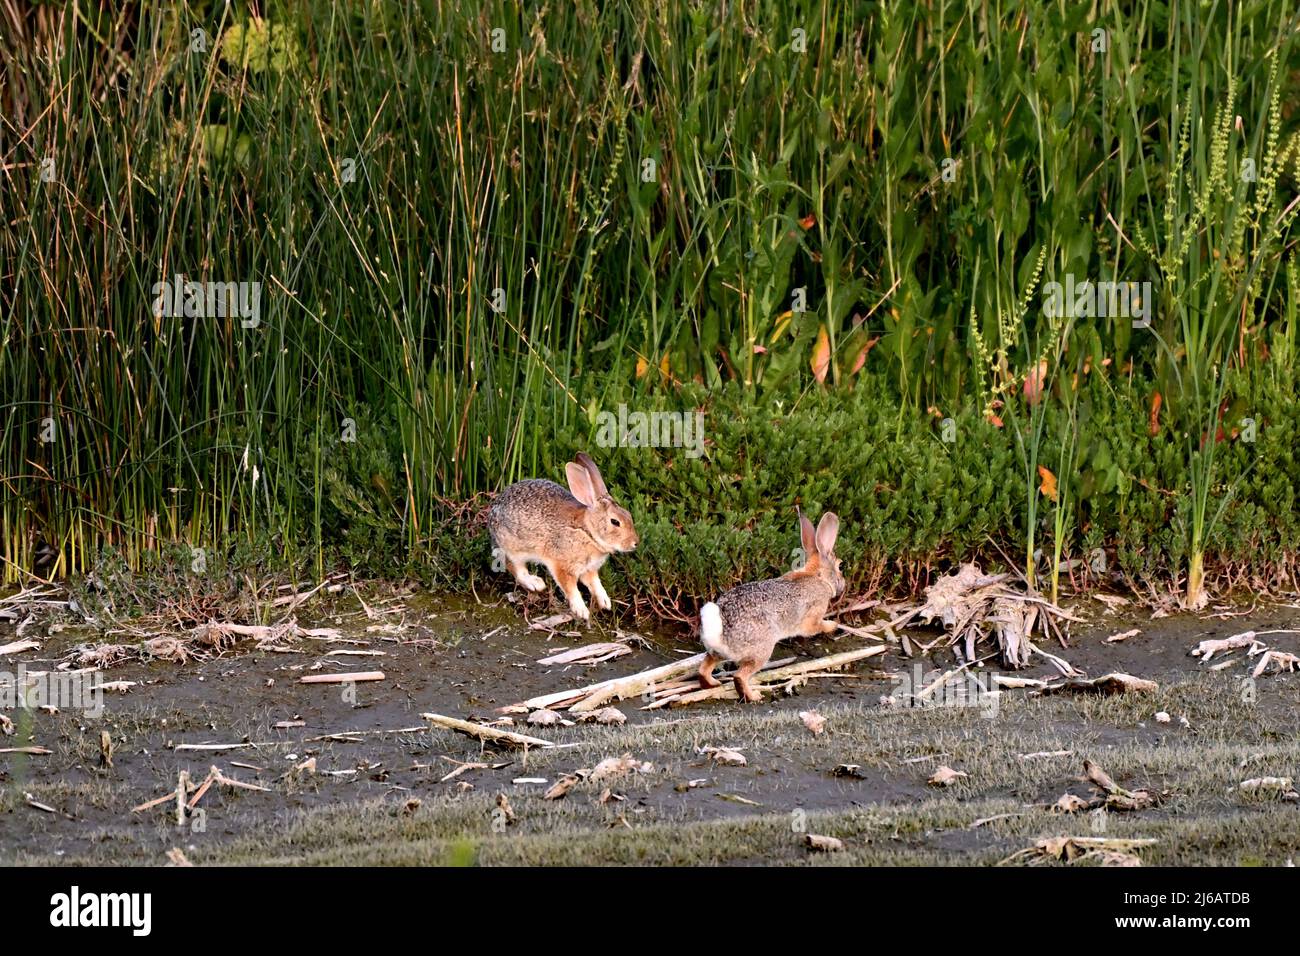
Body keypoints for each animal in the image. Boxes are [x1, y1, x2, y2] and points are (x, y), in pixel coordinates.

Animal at [486, 452, 637, 624]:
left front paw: (605, 602)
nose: (635, 543)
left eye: (628, 514)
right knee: (516, 568)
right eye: (615, 522)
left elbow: (595, 584)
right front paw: (582, 611)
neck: (588, 532)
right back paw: (535, 583)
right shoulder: (562, 566)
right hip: (513, 548)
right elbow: (571, 589)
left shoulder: (589, 569)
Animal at [702, 509, 842, 702]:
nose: (843, 585)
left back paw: (712, 684)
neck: (818, 576)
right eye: (840, 566)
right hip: (762, 650)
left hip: (717, 653)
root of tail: (721, 632)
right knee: (740, 676)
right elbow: (816, 626)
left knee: (704, 668)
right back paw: (754, 696)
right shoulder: (813, 617)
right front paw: (833, 625)